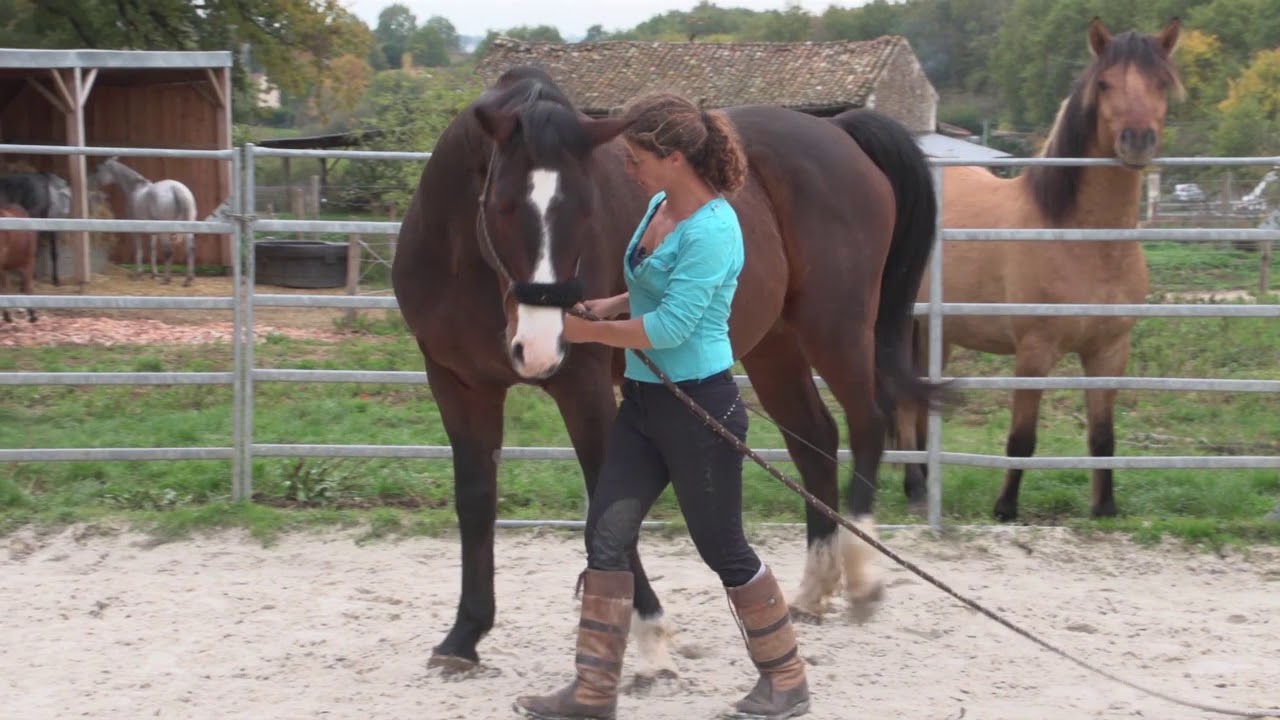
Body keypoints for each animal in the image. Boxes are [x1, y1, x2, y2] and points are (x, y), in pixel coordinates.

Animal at [90, 157, 198, 286]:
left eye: (98, 169)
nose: (91, 182)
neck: (135, 188)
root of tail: (176, 189)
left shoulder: (136, 230)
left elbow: (139, 250)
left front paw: (138, 274)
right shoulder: (153, 232)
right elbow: (152, 250)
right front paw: (154, 274)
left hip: (165, 231)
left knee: (168, 252)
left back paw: (166, 279)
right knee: (190, 249)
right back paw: (188, 279)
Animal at [391, 65, 941, 680]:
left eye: (587, 210)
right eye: (505, 205)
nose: (539, 347)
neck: (468, 270)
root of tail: (840, 132)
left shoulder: (582, 388)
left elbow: (606, 499)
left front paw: (649, 635)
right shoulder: (458, 386)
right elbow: (475, 500)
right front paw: (464, 636)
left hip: (836, 327)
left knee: (869, 421)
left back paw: (863, 574)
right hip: (774, 346)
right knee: (816, 439)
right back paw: (813, 589)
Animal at [893, 17, 1184, 521]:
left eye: (1162, 83)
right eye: (1104, 83)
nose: (1137, 141)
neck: (1082, 240)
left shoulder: (1110, 353)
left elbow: (1103, 437)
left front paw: (1104, 507)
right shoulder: (1034, 351)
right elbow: (1022, 437)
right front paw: (1005, 508)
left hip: (934, 331)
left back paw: (924, 483)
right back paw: (914, 487)